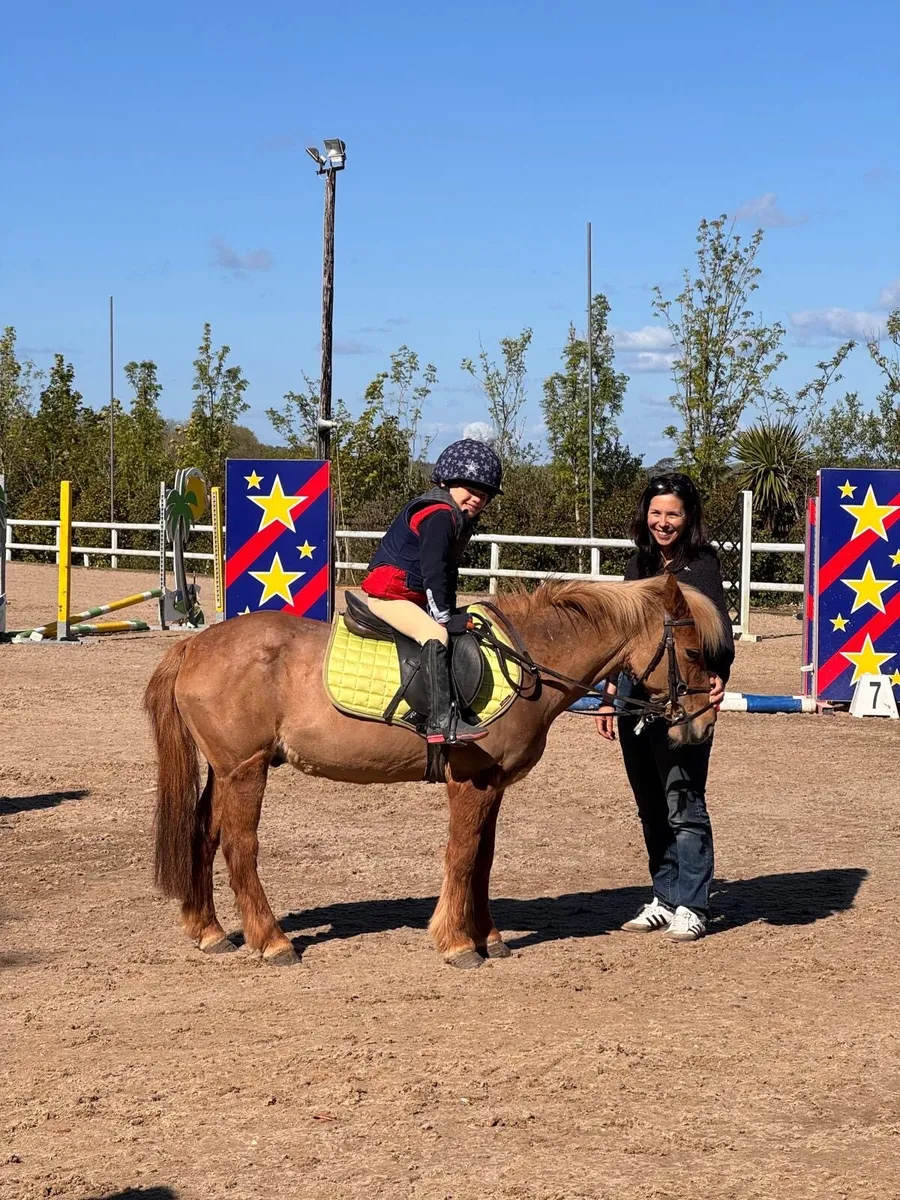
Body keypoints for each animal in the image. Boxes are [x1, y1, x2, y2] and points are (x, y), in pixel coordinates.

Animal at [143, 573, 726, 969]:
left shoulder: (493, 786)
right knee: (239, 846)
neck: (526, 662)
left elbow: (483, 859)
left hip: (225, 771)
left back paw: (210, 930)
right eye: (694, 651)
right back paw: (272, 941)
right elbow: (463, 855)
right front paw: (457, 942)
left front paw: (488, 936)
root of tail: (194, 643)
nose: (702, 726)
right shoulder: (470, 782)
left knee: (203, 834)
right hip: (245, 771)